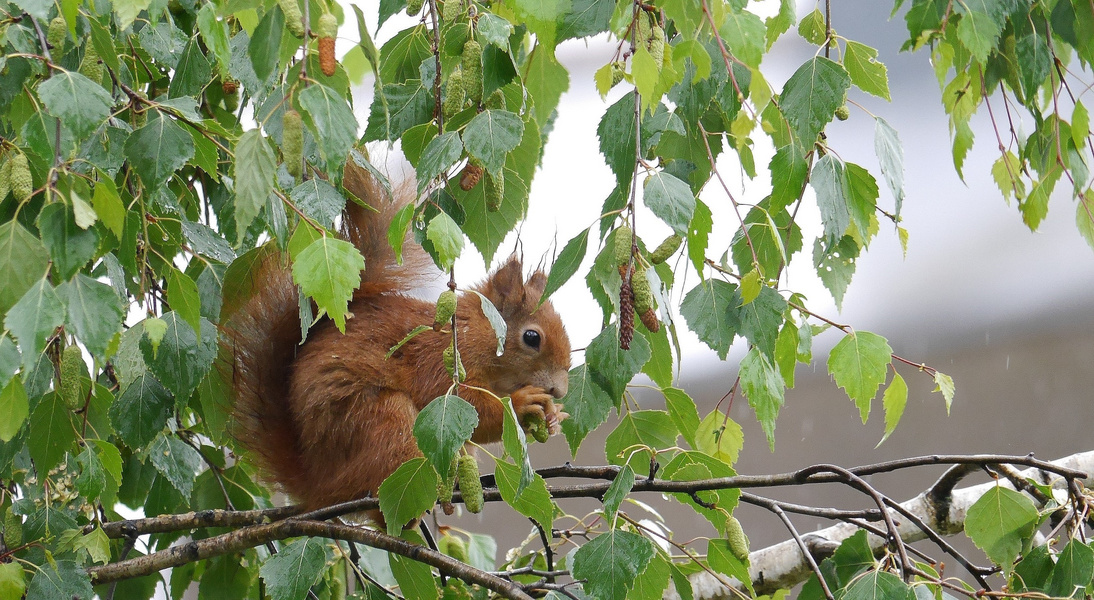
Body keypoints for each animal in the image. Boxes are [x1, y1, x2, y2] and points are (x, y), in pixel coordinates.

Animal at [217, 159, 568, 510]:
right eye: (532, 338)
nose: (561, 390)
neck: (478, 333)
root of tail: (316, 486)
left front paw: (554, 417)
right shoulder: (442, 358)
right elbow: (471, 410)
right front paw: (522, 403)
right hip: (380, 421)